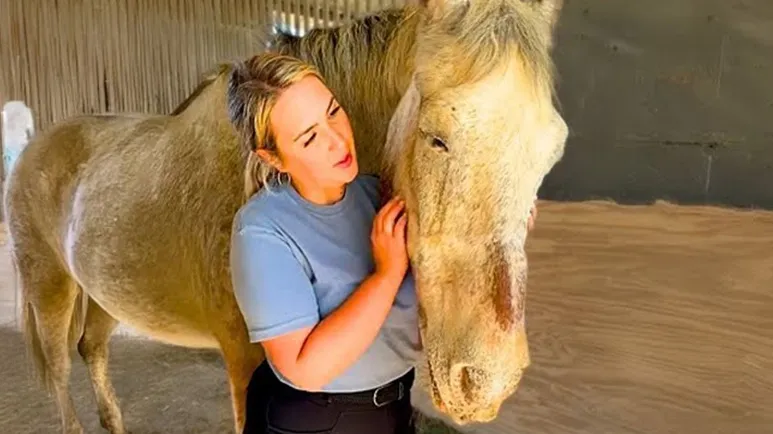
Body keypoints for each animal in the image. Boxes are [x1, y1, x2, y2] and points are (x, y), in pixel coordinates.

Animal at [3, 1, 567, 432]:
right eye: (436, 137)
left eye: (552, 151)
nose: (485, 380)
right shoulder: (244, 362)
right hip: (50, 285)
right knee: (59, 369)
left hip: (103, 293)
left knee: (92, 349)